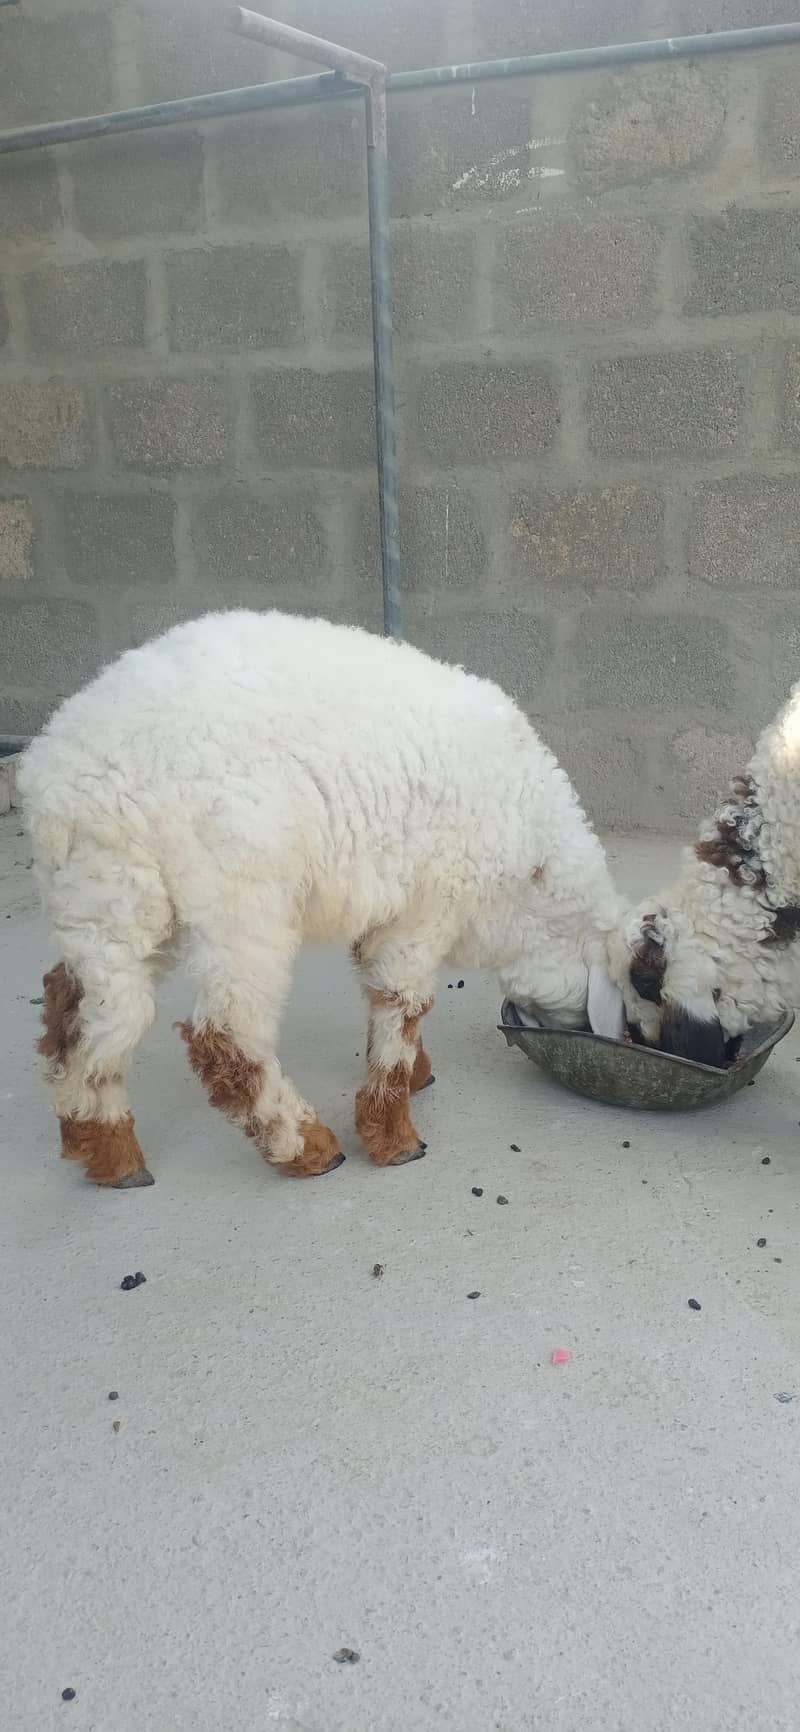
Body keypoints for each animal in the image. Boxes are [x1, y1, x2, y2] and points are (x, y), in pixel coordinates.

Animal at [20, 608, 625, 1188]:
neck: (530, 859)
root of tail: (57, 776)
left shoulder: (387, 907)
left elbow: (377, 987)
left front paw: (416, 1074)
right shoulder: (427, 903)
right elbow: (404, 1002)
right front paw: (393, 1135)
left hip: (109, 891)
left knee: (85, 1009)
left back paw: (107, 1151)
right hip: (239, 900)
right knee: (228, 1033)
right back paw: (304, 1147)